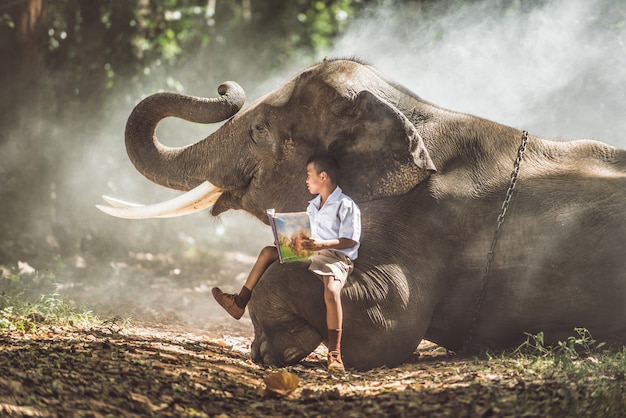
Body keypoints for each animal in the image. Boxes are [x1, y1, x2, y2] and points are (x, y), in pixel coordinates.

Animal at [96, 58, 624, 370]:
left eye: (260, 131)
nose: (226, 86)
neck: (412, 111)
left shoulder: (428, 219)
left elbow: (388, 324)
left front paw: (274, 350)